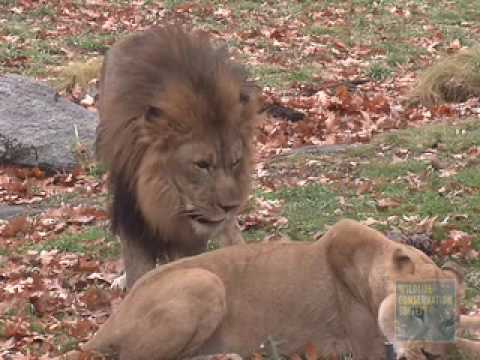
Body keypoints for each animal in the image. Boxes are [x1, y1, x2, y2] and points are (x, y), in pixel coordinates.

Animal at [83, 221, 480, 358]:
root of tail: (106, 326)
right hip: (205, 280)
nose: (430, 355)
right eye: (415, 313)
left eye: (447, 319)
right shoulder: (369, 349)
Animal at [96, 26, 260, 288]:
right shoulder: (132, 215)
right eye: (202, 164)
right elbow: (139, 273)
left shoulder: (191, 236)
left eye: (235, 161)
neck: (163, 199)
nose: (231, 206)